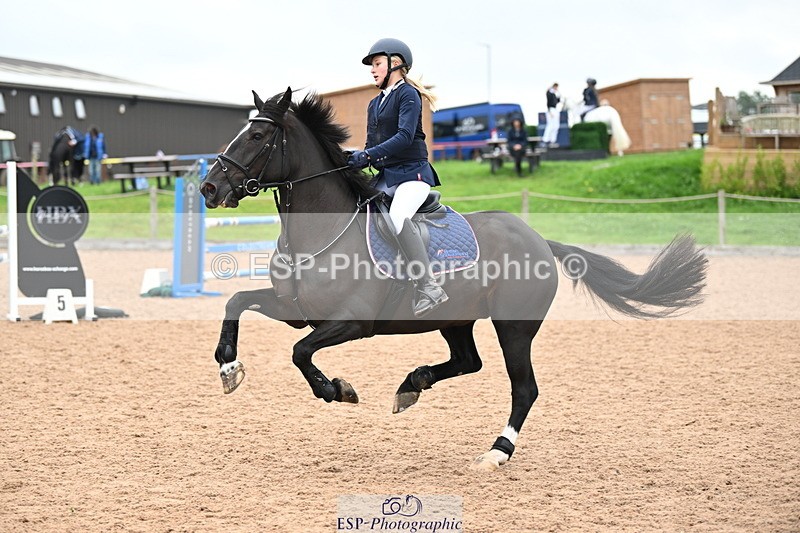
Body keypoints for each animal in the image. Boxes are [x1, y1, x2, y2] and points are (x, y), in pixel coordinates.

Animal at [199, 87, 707, 471]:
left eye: (258, 134)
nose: (209, 188)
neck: (321, 228)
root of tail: (540, 241)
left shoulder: (351, 322)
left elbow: (300, 352)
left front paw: (336, 390)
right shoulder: (296, 310)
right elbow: (236, 302)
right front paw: (228, 368)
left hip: (514, 327)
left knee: (523, 388)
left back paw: (496, 452)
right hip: (455, 318)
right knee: (468, 361)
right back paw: (412, 385)